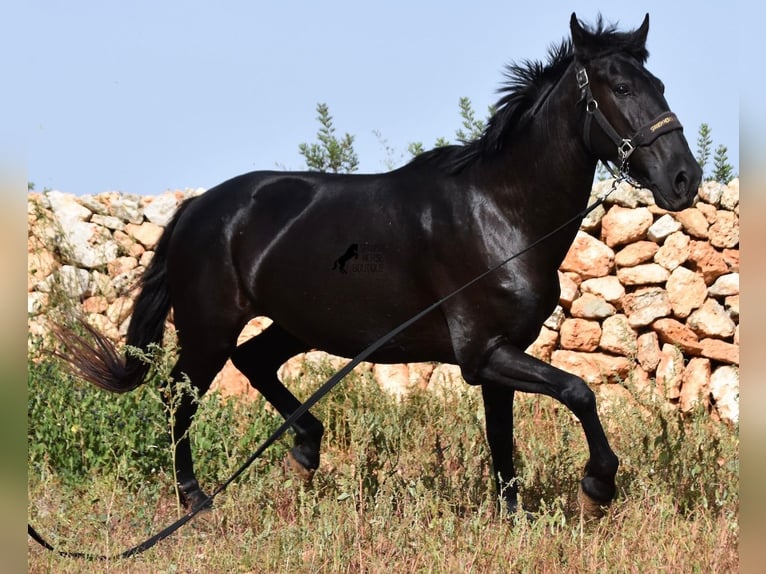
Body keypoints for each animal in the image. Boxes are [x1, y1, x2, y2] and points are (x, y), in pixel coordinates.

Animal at [55, 12, 704, 516]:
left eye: (660, 82)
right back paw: (194, 499)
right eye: (619, 86)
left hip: (299, 323)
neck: (499, 212)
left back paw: (306, 450)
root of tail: (198, 207)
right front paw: (596, 487)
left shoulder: (500, 354)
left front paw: (513, 518)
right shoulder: (483, 354)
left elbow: (503, 441)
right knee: (180, 397)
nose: (684, 179)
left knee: (253, 361)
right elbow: (579, 391)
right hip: (209, 327)